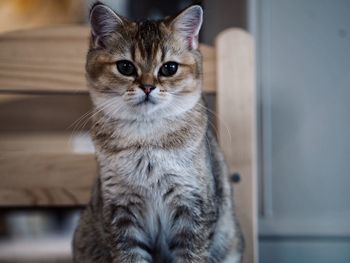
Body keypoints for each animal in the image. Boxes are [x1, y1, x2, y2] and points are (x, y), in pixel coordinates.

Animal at [73, 2, 243, 263]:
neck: (146, 139)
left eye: (169, 68)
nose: (147, 87)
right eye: (125, 67)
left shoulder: (192, 206)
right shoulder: (120, 210)